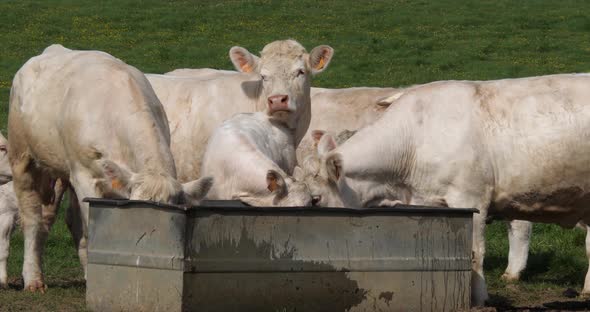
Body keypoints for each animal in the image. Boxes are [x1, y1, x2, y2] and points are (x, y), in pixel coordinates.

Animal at [8, 44, 213, 292]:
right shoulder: (84, 176)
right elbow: (91, 228)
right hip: (22, 156)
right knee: (32, 217)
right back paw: (33, 279)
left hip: (58, 168)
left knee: (57, 218)